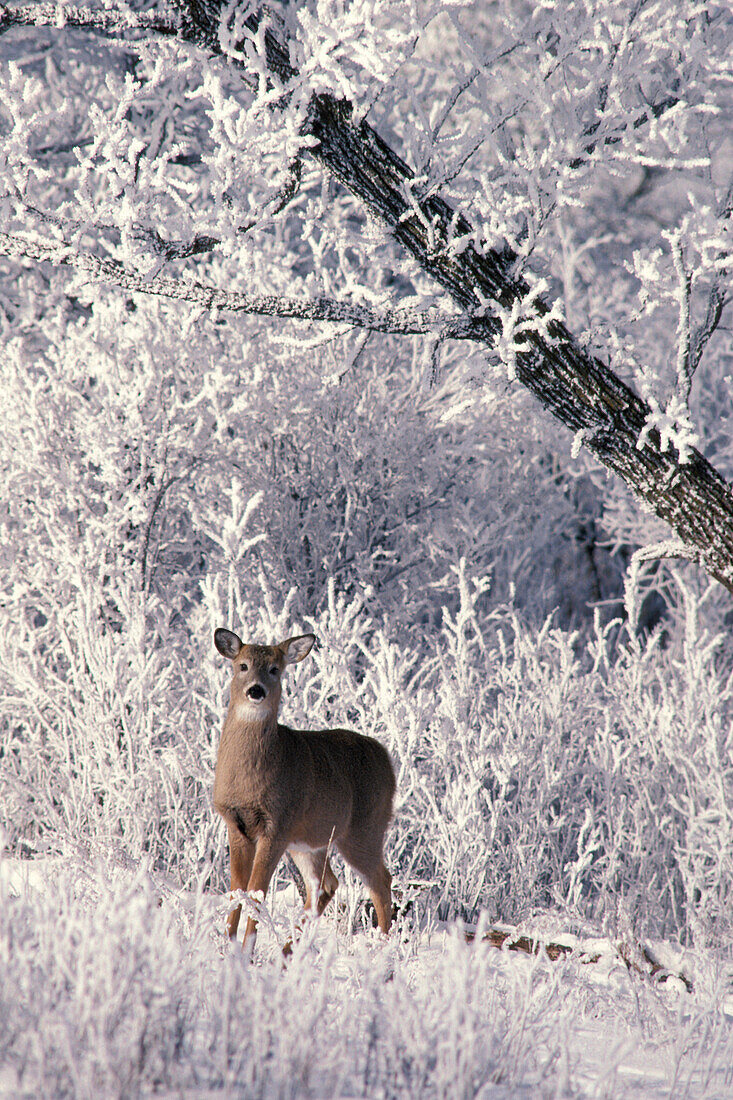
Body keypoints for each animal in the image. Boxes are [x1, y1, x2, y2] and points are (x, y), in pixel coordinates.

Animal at [211, 629, 394, 954]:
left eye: (275, 669)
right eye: (242, 666)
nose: (256, 691)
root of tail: (388, 760)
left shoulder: (277, 825)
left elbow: (256, 893)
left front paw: (246, 951)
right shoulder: (236, 823)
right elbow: (236, 890)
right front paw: (227, 945)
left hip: (363, 831)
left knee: (381, 882)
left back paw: (381, 949)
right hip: (310, 842)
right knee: (326, 884)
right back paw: (288, 949)